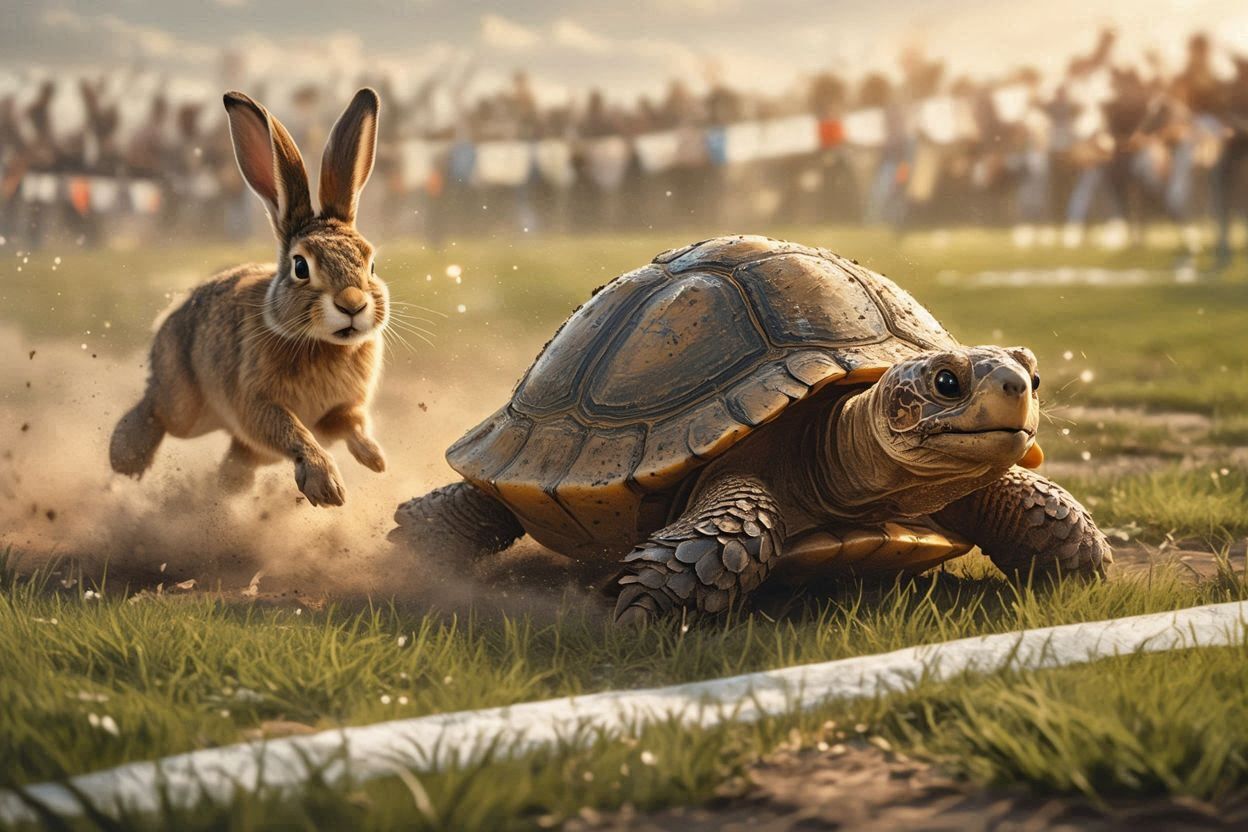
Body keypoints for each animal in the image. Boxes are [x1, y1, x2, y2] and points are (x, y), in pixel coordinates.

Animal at [109, 88, 390, 507]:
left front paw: (375, 459)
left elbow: (353, 426)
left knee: (233, 467)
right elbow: (292, 431)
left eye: (371, 264)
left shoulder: (341, 410)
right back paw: (125, 455)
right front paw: (326, 486)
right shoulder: (258, 402)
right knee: (157, 408)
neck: (322, 344)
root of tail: (172, 315)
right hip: (185, 405)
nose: (352, 304)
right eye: (300, 266)